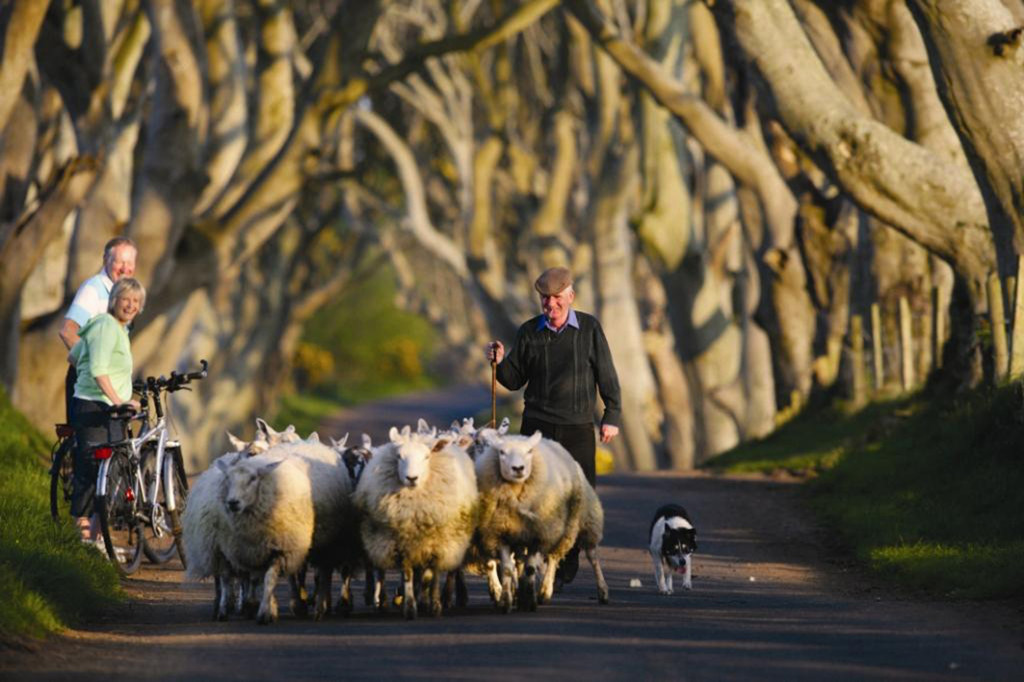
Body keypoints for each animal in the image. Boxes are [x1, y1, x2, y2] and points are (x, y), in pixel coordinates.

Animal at [354, 425, 477, 614]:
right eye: (399, 456)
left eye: (426, 456)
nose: (411, 478)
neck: (414, 507)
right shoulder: (402, 541)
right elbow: (408, 573)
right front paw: (410, 605)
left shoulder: (439, 542)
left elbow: (433, 573)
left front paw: (434, 604)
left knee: (445, 571)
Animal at [473, 428, 606, 606]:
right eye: (501, 452)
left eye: (529, 451)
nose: (518, 468)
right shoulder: (492, 533)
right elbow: (497, 565)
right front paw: (502, 594)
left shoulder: (539, 533)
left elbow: (528, 566)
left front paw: (526, 596)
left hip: (578, 522)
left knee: (581, 556)